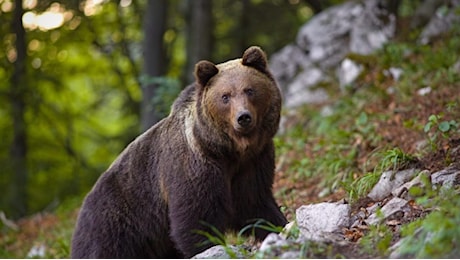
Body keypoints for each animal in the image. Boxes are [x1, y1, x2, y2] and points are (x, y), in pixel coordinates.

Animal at [70, 46, 286, 258]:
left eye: (249, 90)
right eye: (225, 96)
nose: (243, 117)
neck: (228, 150)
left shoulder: (254, 162)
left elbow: (254, 203)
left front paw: (279, 226)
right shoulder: (194, 166)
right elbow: (196, 217)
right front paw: (208, 247)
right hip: (116, 222)